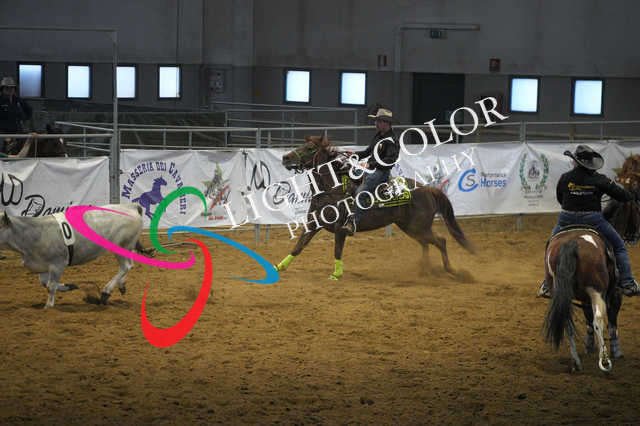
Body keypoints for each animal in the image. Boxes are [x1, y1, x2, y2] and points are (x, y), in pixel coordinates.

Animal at [0, 204, 152, 308]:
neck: (34, 233)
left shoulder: (57, 264)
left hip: (120, 246)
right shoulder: (41, 265)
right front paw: (69, 286)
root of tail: (130, 206)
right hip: (126, 247)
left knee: (126, 266)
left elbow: (50, 285)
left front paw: (48, 306)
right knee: (128, 265)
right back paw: (121, 285)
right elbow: (44, 282)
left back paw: (105, 293)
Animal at [276, 135, 475, 280]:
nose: (285, 158)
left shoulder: (340, 229)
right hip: (410, 227)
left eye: (310, 148)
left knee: (440, 241)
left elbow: (337, 251)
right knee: (426, 243)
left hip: (420, 226)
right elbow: (298, 247)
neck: (331, 188)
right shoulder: (313, 224)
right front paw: (279, 267)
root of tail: (428, 189)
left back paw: (452, 270)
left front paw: (336, 274)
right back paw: (425, 269)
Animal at [543, 227, 623, 372]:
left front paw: (589, 346)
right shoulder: (616, 293)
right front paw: (616, 351)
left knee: (567, 323)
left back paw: (576, 362)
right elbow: (611, 323)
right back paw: (604, 362)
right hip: (596, 291)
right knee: (598, 320)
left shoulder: (585, 301)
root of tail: (571, 243)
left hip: (560, 292)